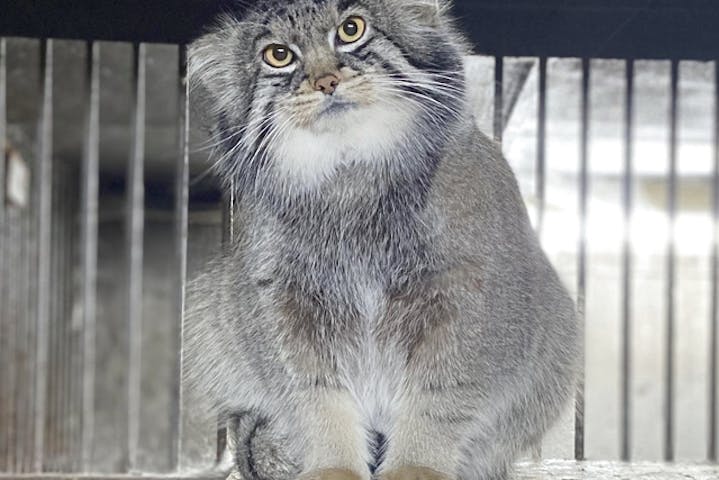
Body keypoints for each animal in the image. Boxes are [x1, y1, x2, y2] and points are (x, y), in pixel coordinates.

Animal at [186, 1, 580, 478]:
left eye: (351, 29)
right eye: (278, 55)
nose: (326, 81)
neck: (350, 178)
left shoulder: (468, 295)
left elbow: (438, 398)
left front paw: (416, 466)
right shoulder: (283, 305)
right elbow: (317, 400)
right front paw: (332, 467)